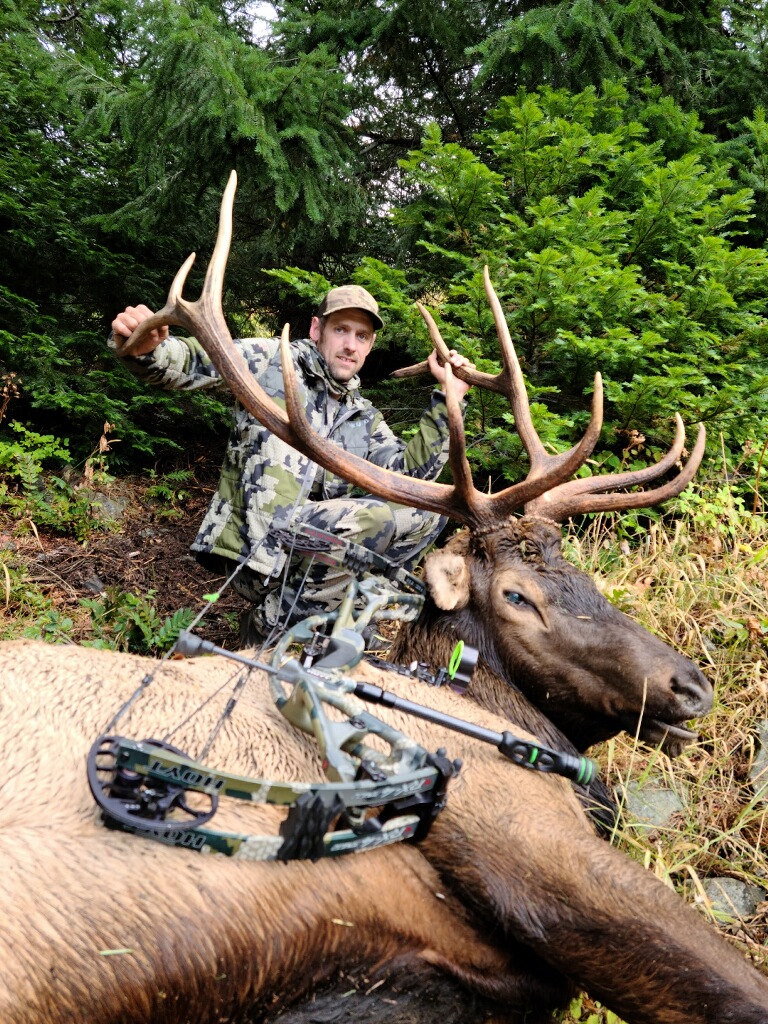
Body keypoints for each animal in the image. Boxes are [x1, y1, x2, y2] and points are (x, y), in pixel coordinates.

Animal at [3, 171, 764, 1024]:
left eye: (586, 577)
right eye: (517, 596)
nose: (690, 686)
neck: (484, 705)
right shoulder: (512, 820)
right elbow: (731, 988)